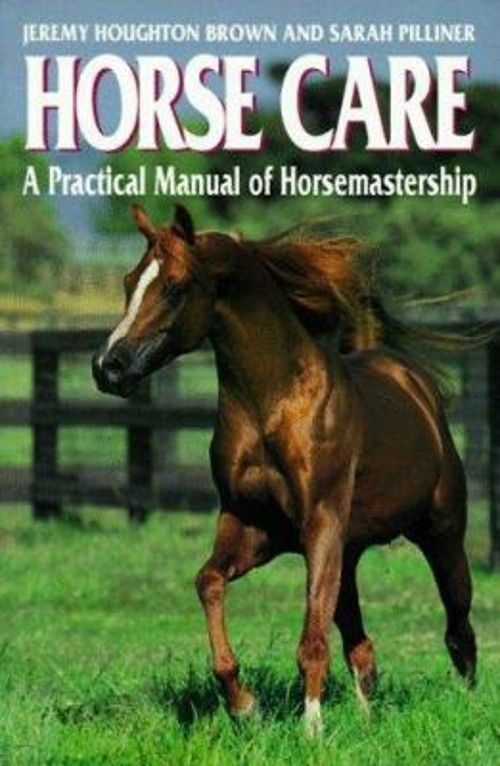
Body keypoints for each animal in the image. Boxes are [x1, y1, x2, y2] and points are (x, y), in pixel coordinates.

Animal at [92, 204, 477, 736]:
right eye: (131, 281)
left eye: (175, 286)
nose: (108, 366)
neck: (272, 406)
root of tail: (414, 383)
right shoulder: (254, 526)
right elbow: (208, 582)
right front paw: (243, 704)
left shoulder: (319, 523)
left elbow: (311, 637)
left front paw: (310, 728)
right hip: (348, 554)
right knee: (361, 645)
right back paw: (367, 719)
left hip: (441, 534)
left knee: (460, 629)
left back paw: (467, 704)